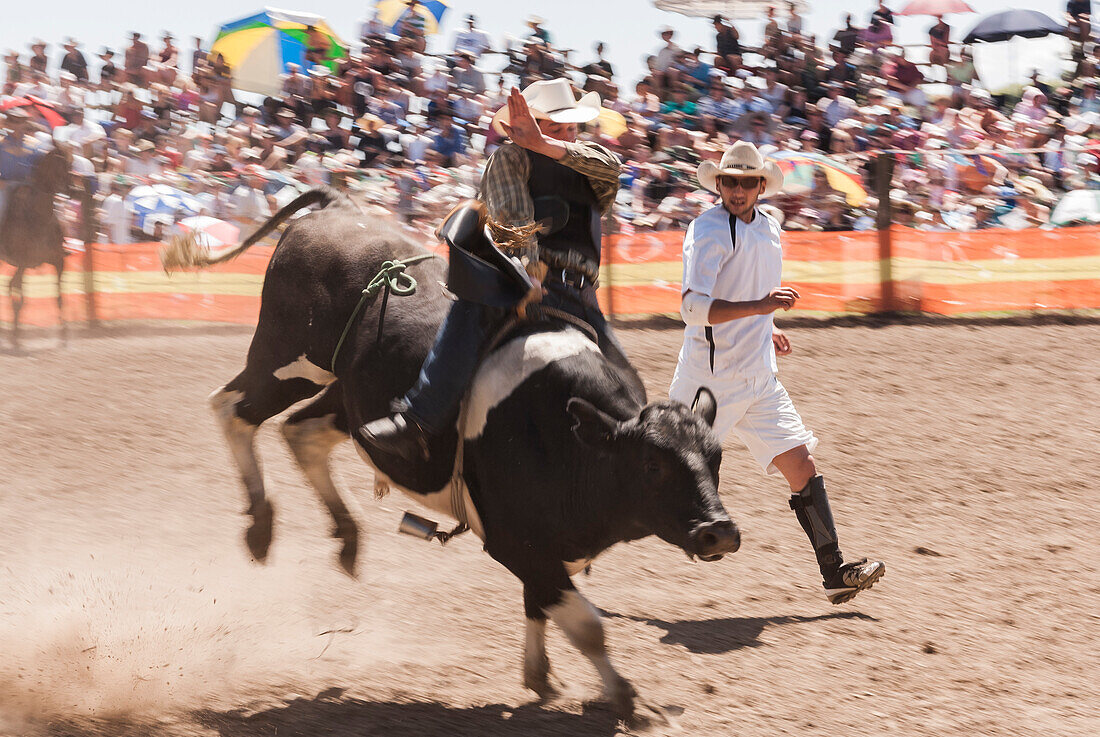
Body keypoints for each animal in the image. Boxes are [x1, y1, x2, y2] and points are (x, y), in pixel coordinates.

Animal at [162, 189, 743, 721]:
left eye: (715, 458)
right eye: (652, 465)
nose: (719, 531)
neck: (564, 433)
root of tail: (334, 210)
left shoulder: (544, 547)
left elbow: (540, 605)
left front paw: (540, 678)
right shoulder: (514, 540)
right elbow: (585, 623)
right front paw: (626, 699)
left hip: (344, 397)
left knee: (301, 434)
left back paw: (347, 537)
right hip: (287, 359)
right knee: (233, 410)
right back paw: (261, 526)